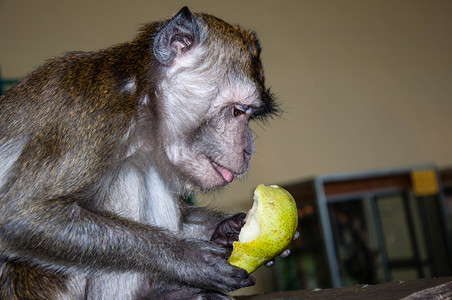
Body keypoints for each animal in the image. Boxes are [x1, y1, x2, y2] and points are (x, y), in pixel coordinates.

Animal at [0, 6, 282, 300]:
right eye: (237, 111)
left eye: (249, 115)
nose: (248, 150)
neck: (142, 97)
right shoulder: (91, 115)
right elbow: (22, 216)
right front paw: (188, 258)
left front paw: (228, 228)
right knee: (129, 173)